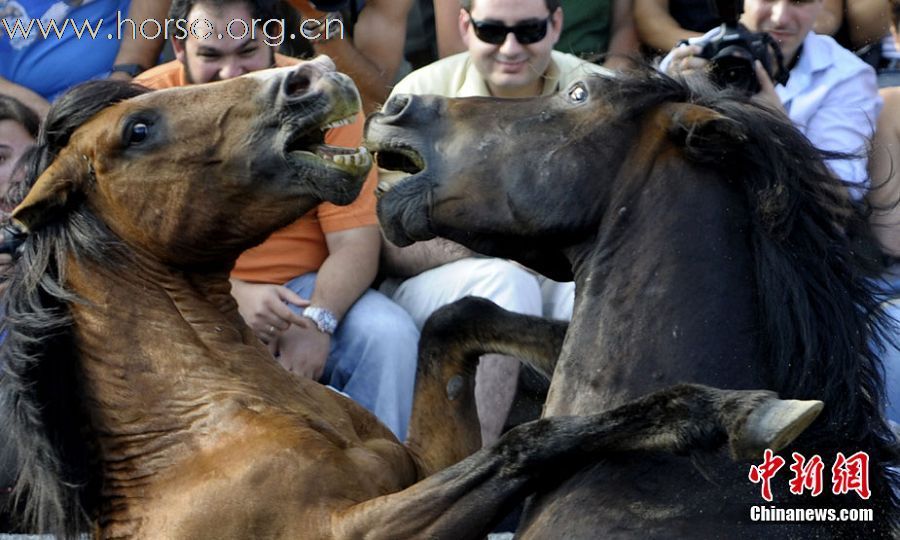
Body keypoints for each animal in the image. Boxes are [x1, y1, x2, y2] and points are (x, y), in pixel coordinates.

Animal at [1, 60, 824, 540]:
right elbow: (524, 443)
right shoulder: (355, 531)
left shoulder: (419, 467)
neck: (198, 434)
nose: (310, 75)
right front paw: (731, 410)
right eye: (138, 128)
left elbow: (457, 328)